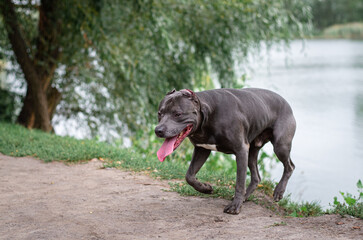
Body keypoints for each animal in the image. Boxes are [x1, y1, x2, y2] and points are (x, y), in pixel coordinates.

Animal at [156, 88, 296, 216]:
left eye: (178, 114)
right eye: (159, 113)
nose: (158, 130)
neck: (209, 114)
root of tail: (286, 103)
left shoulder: (241, 150)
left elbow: (239, 182)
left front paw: (235, 206)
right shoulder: (202, 149)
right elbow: (189, 176)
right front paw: (205, 188)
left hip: (280, 146)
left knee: (290, 166)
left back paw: (278, 191)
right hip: (252, 151)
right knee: (256, 177)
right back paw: (246, 196)